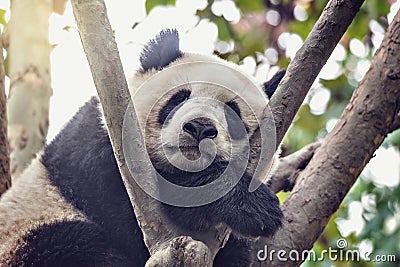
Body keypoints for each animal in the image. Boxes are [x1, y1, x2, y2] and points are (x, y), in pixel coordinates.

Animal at [1, 29, 286, 267]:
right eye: (178, 98)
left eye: (233, 114)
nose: (199, 127)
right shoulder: (95, 145)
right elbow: (119, 211)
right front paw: (247, 204)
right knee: (69, 245)